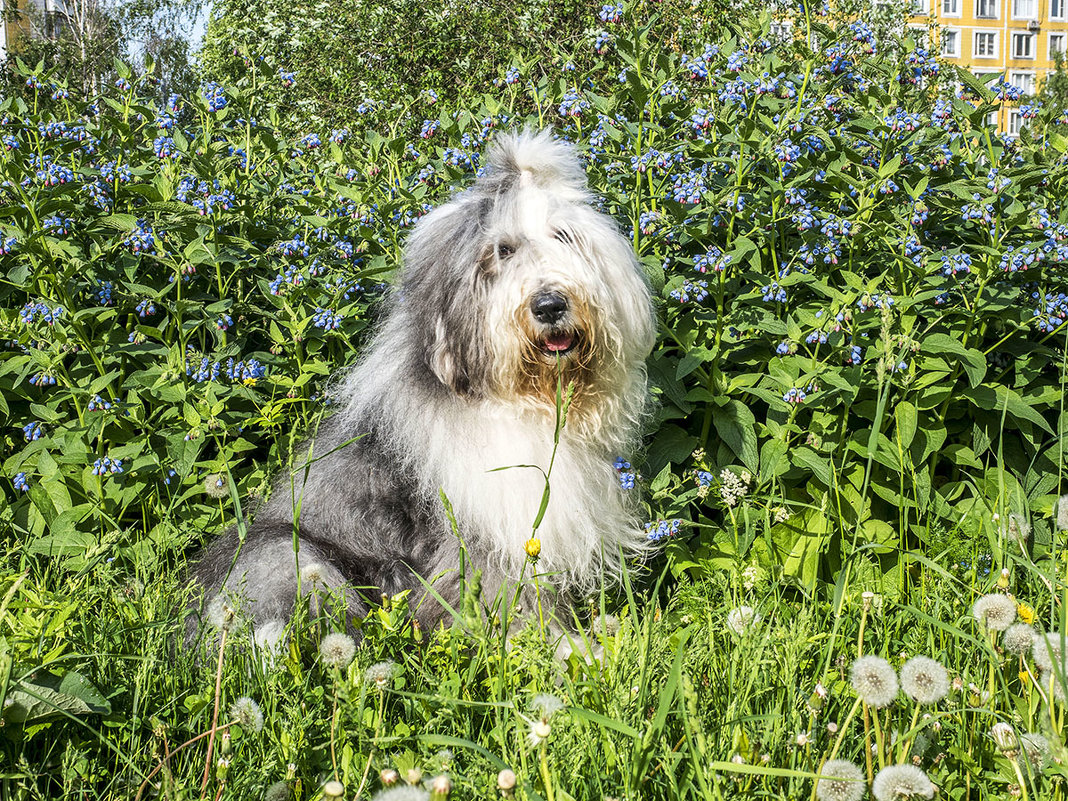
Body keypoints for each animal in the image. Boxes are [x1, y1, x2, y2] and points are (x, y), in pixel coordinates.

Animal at [190, 128, 657, 649]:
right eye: (502, 251)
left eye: (563, 236)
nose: (551, 305)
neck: (522, 401)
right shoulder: (485, 535)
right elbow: (516, 601)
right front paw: (567, 651)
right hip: (288, 559)